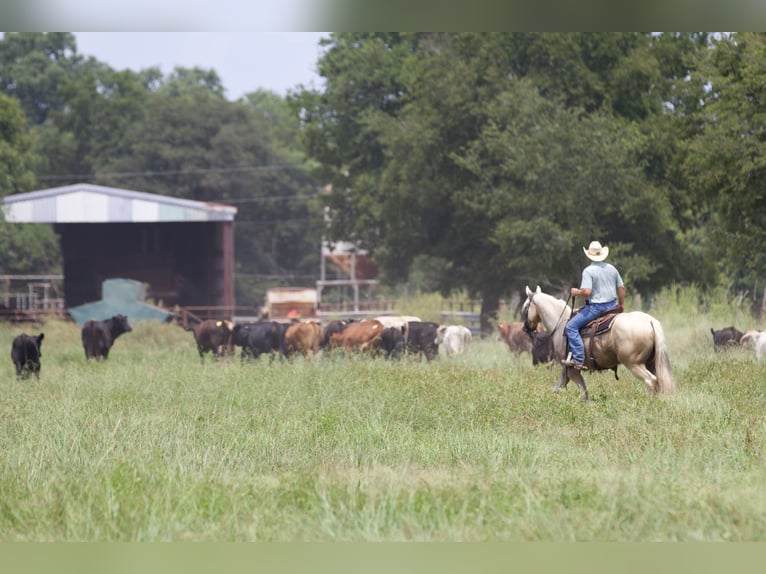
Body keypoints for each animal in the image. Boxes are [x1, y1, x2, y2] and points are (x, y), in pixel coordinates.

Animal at [520, 286, 680, 402]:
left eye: (525, 308)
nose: (526, 329)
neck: (561, 324)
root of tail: (650, 321)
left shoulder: (572, 369)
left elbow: (583, 391)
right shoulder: (566, 369)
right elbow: (557, 388)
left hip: (634, 364)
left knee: (650, 380)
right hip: (651, 363)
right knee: (658, 381)